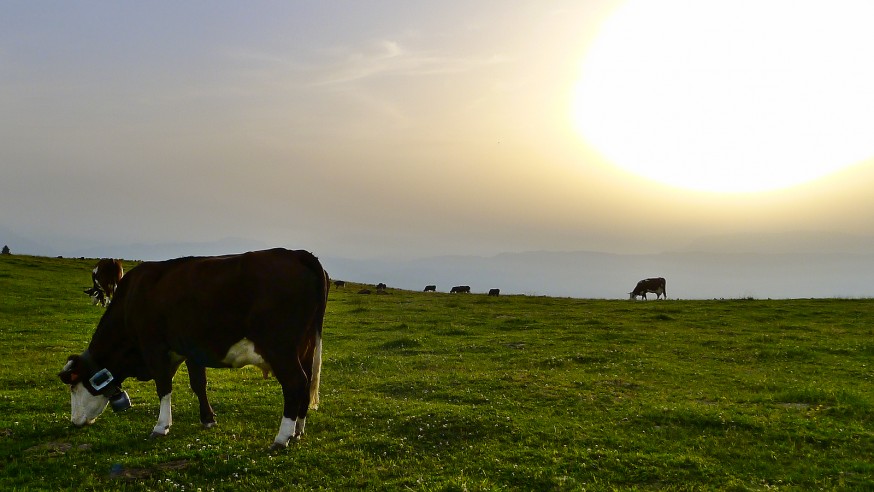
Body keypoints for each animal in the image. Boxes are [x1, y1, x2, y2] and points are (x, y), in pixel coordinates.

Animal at [58, 250, 330, 450]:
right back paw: (298, 430)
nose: (74, 422)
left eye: (73, 386)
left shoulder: (154, 346)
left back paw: (282, 438)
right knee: (306, 383)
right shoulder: (191, 350)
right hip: (304, 348)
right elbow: (199, 384)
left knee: (295, 382)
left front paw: (161, 426)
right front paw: (208, 419)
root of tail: (296, 253)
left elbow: (163, 386)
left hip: (280, 348)